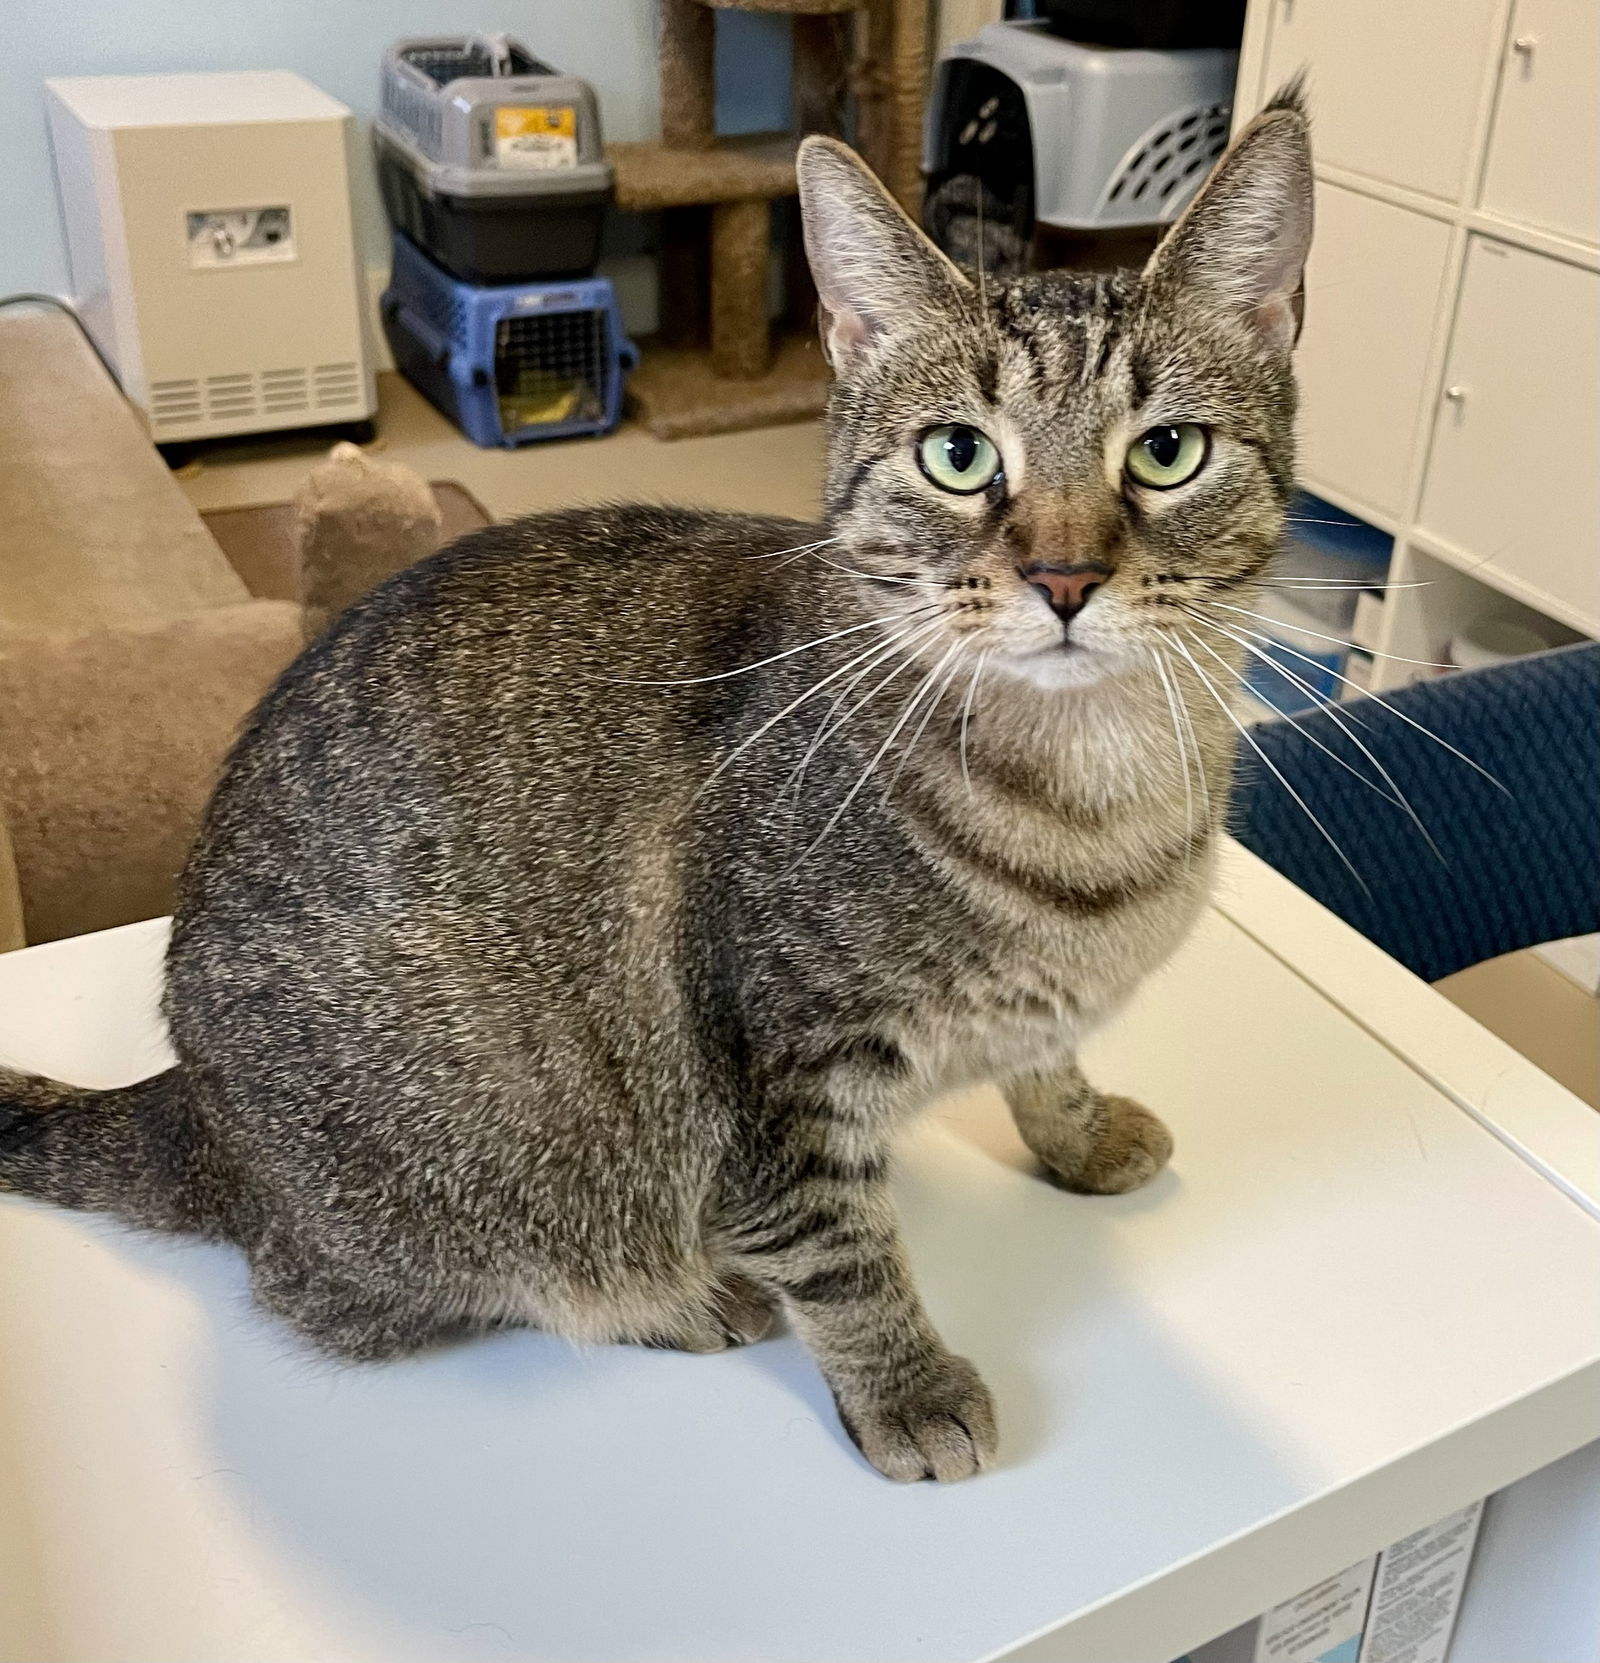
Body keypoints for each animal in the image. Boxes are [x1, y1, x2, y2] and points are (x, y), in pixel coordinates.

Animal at [3, 91, 1310, 1483]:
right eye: (959, 456)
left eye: (1167, 452)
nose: (1063, 576)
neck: (1096, 798)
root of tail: (194, 1114)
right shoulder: (773, 1073)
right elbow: (842, 1250)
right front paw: (902, 1382)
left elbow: (1046, 1055)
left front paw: (1073, 1127)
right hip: (479, 1160)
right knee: (403, 1288)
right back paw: (677, 1293)